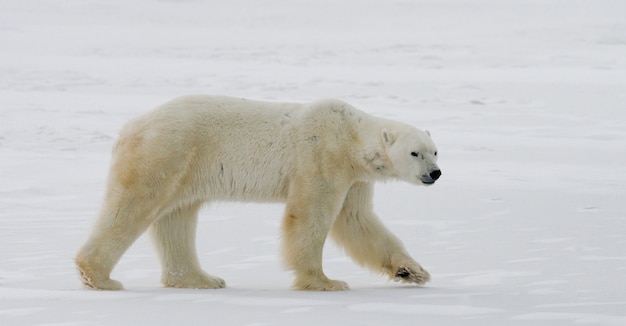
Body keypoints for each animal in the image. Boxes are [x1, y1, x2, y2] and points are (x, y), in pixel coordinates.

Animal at [75, 94, 438, 290]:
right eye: (414, 153)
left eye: (435, 151)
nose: (435, 173)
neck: (350, 136)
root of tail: (129, 127)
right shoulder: (321, 157)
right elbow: (311, 215)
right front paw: (325, 281)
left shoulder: (355, 179)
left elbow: (357, 221)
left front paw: (413, 271)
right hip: (166, 152)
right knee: (133, 205)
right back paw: (99, 276)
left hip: (184, 167)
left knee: (177, 219)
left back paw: (202, 279)